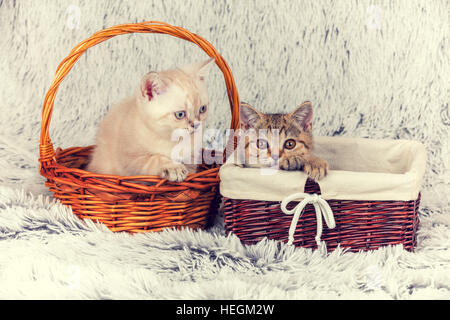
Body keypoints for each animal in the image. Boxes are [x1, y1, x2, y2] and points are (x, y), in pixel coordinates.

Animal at [88, 58, 216, 181]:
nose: (197, 125)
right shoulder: (130, 159)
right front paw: (174, 168)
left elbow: (190, 169)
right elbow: (155, 158)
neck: (172, 141)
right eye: (180, 114)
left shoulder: (192, 158)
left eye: (202, 109)